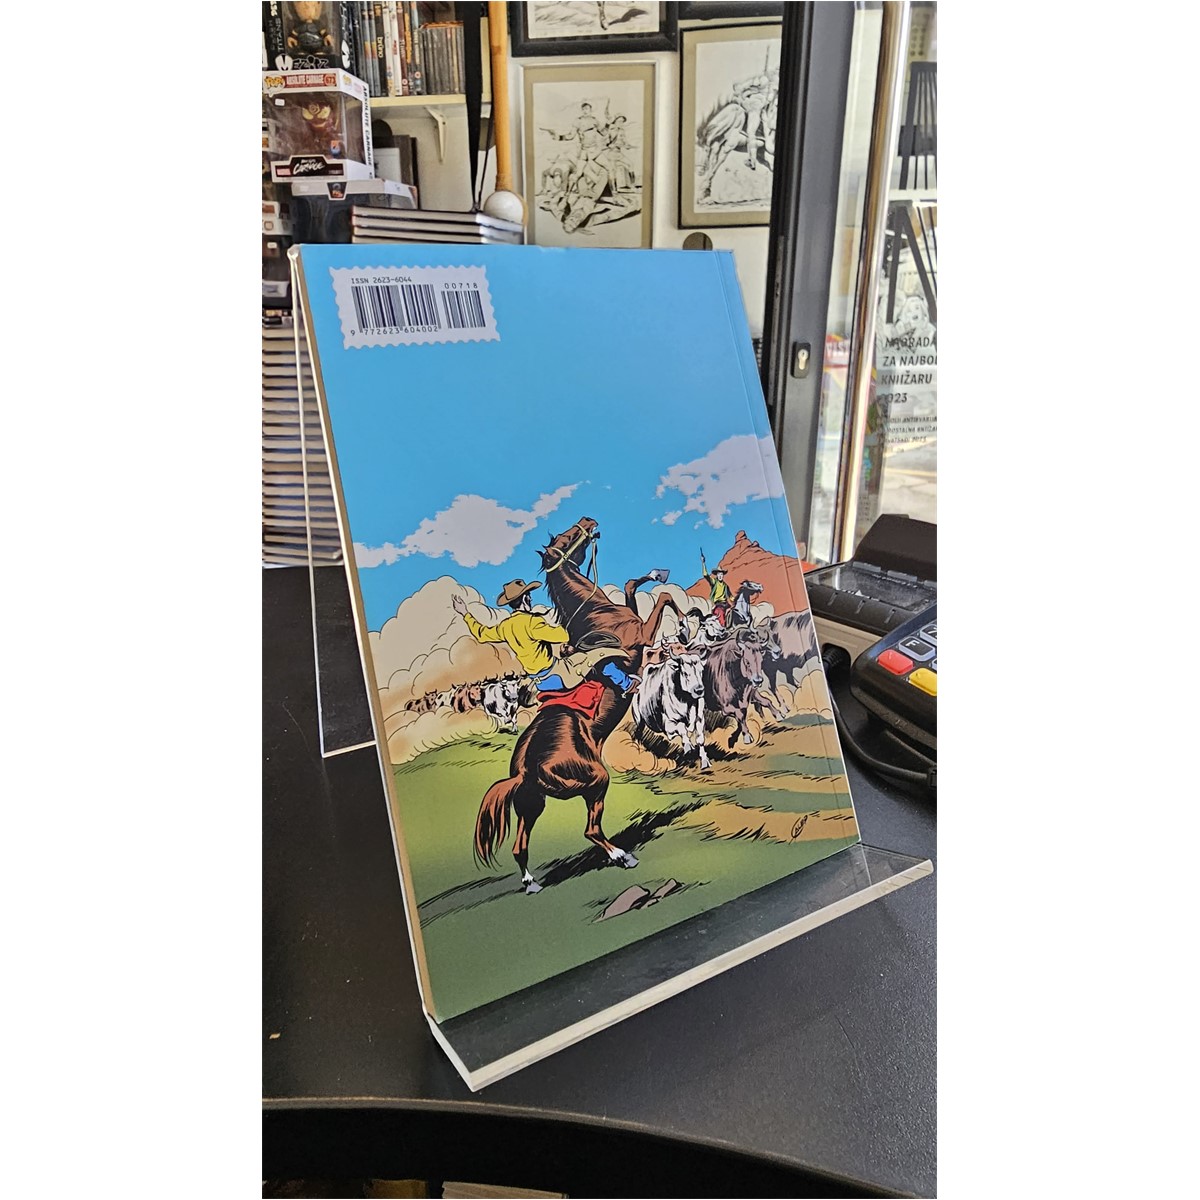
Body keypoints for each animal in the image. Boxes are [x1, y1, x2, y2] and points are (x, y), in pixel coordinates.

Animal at [473, 516, 683, 893]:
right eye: (564, 537)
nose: (588, 521)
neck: (596, 613)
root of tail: (524, 770)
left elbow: (633, 585)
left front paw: (657, 575)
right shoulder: (643, 634)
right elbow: (664, 598)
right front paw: (689, 619)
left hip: (531, 805)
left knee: (520, 846)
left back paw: (531, 883)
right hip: (595, 780)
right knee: (590, 829)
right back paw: (621, 856)